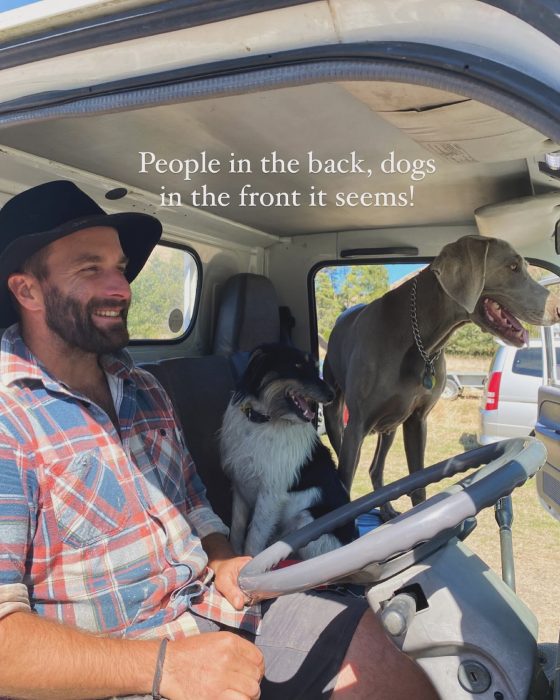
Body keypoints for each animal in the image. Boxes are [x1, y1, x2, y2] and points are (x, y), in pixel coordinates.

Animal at [219, 344, 354, 556]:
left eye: (315, 367)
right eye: (297, 365)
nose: (332, 395)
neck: (263, 420)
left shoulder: (270, 495)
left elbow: (253, 540)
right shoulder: (240, 487)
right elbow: (237, 531)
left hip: (306, 519)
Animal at [324, 232, 560, 512]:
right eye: (513, 267)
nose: (558, 309)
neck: (420, 341)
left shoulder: (417, 421)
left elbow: (418, 485)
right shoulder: (357, 424)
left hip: (390, 425)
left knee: (375, 469)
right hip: (337, 418)